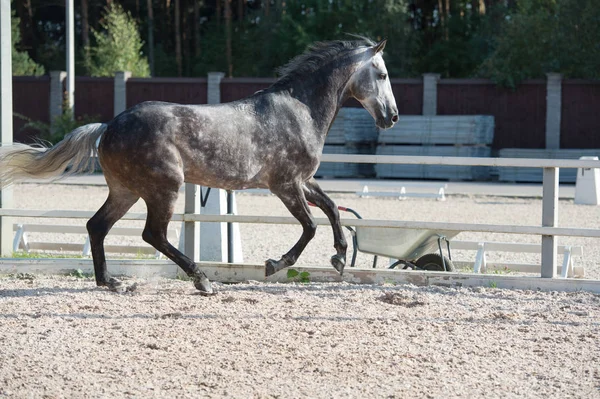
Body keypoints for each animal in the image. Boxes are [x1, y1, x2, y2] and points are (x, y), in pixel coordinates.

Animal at [0, 38, 398, 294]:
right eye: (381, 75)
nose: (391, 117)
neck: (299, 109)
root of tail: (109, 125)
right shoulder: (285, 185)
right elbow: (311, 226)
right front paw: (275, 264)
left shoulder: (304, 181)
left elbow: (331, 209)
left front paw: (340, 258)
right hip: (164, 188)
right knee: (152, 235)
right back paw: (202, 280)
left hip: (126, 191)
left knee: (97, 226)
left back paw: (111, 283)